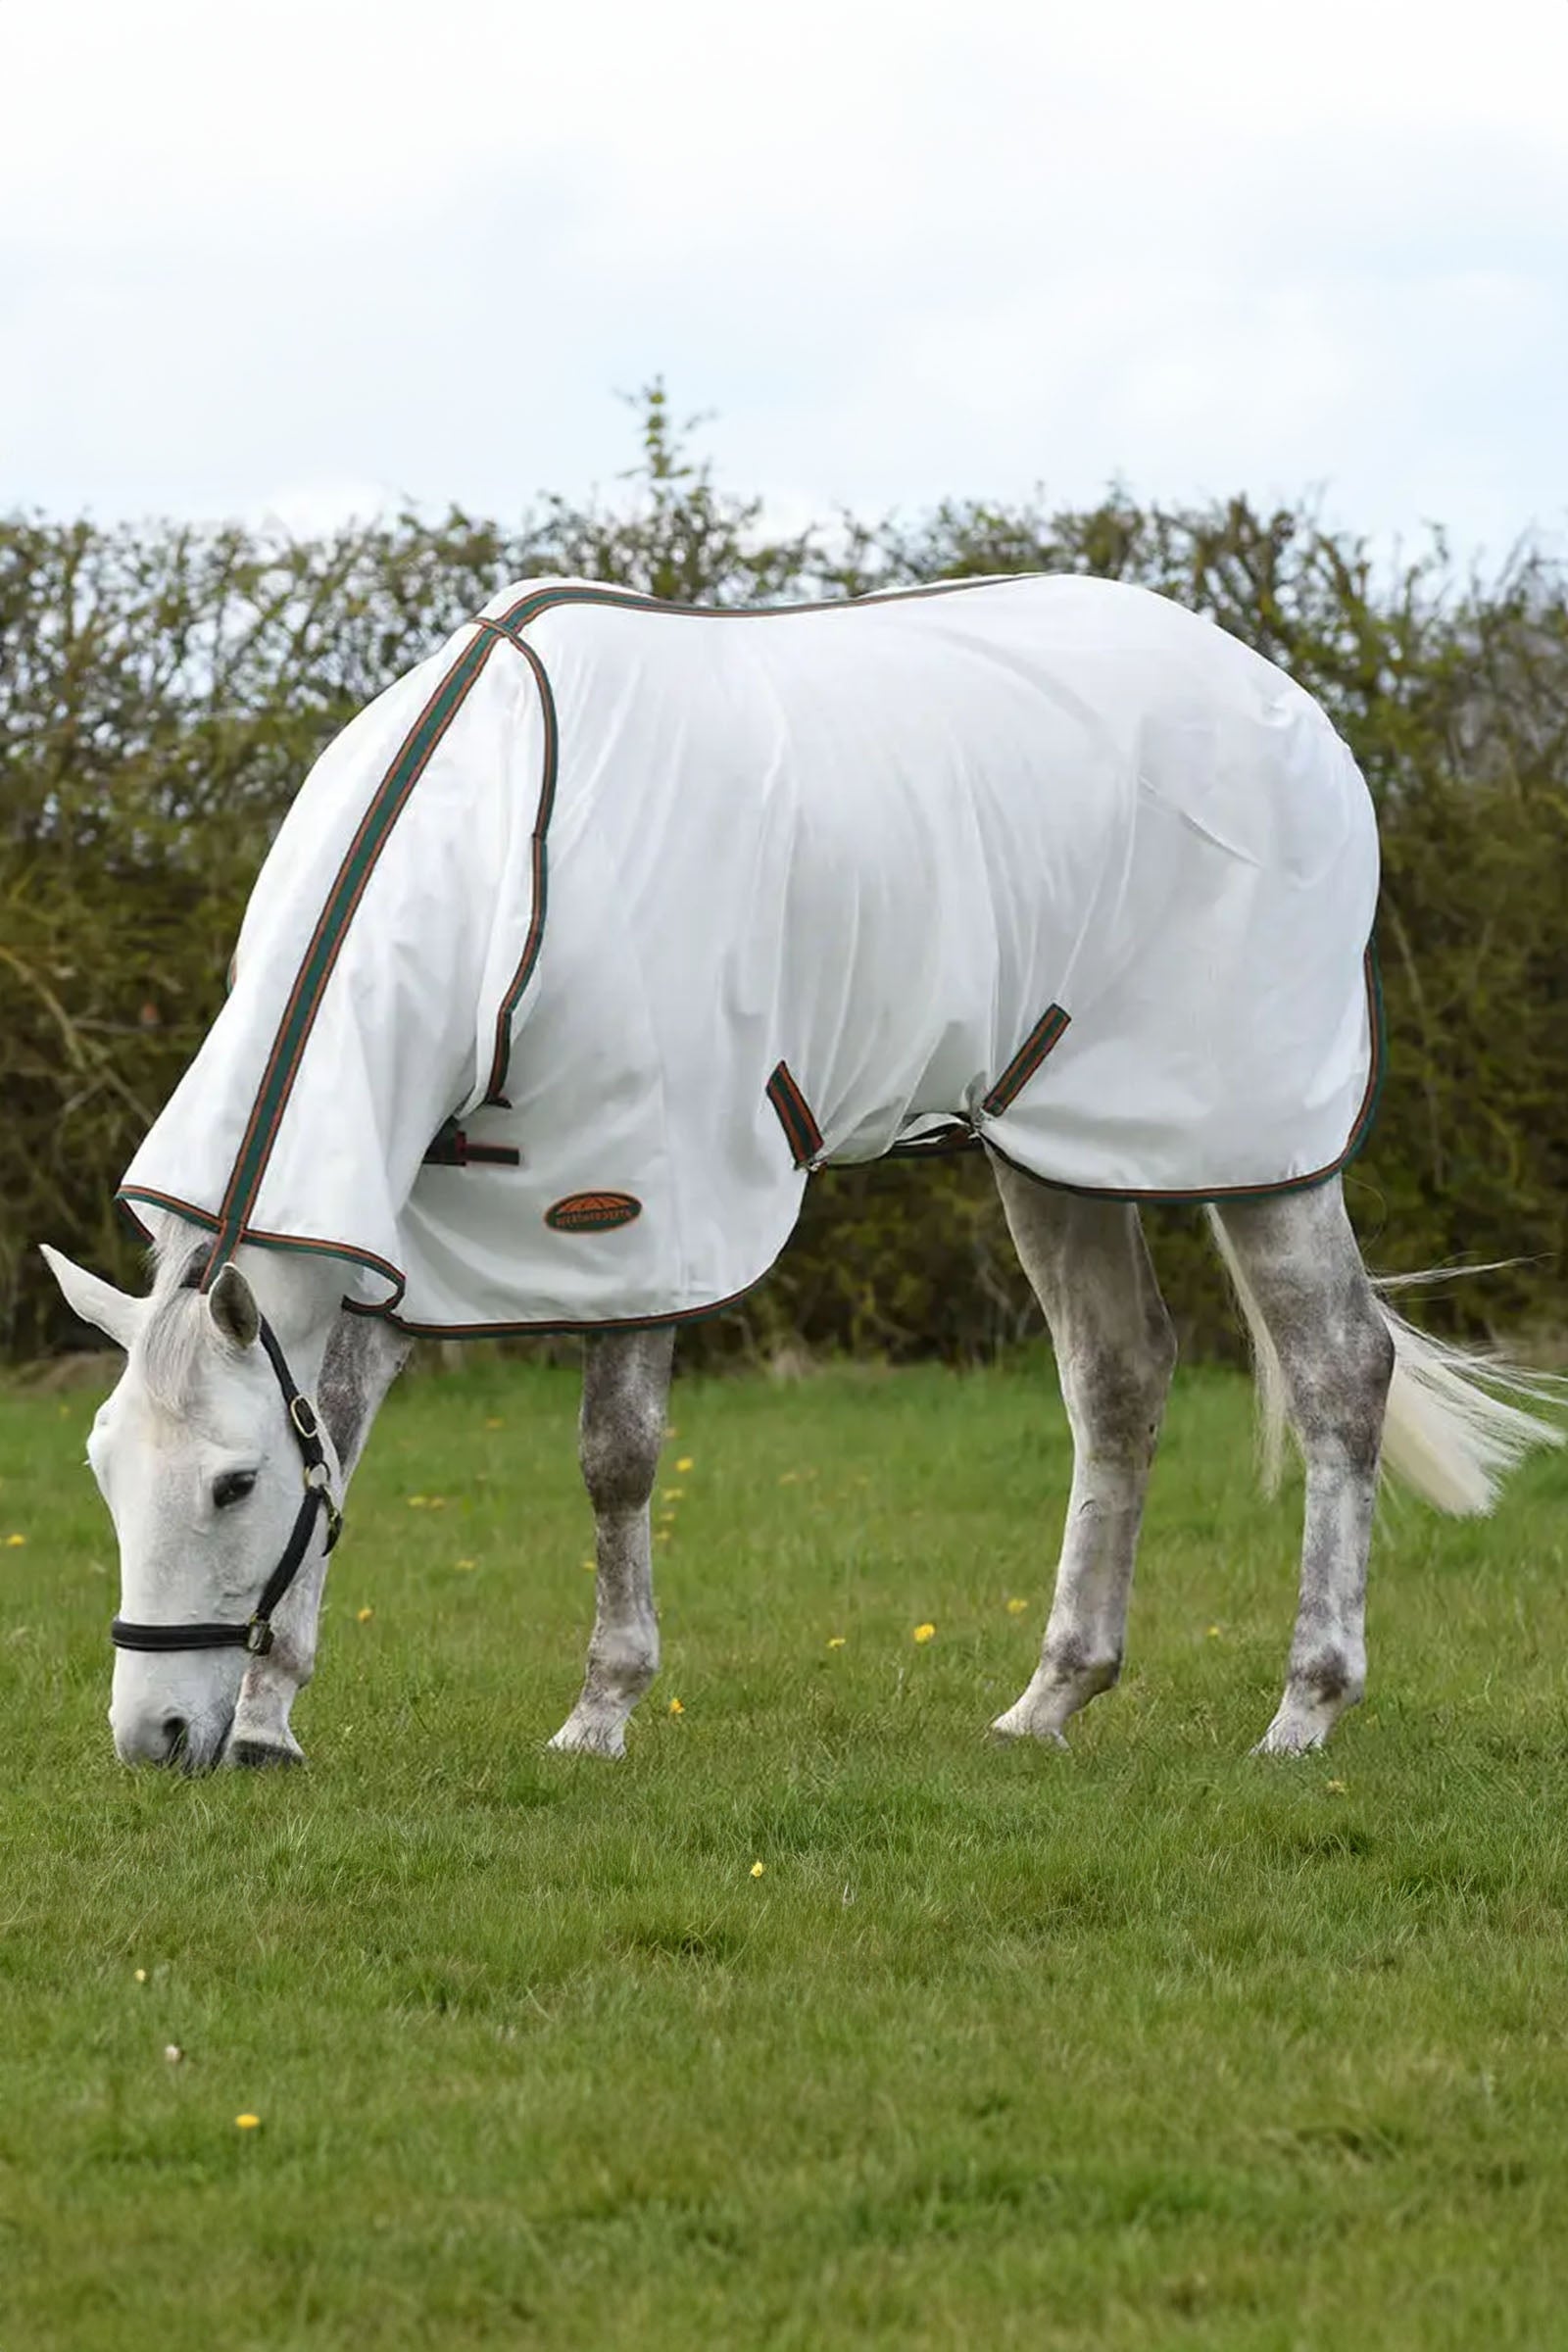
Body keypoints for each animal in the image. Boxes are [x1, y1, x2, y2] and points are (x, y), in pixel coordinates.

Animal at [41, 573, 1560, 1771]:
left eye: (230, 1485)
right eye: (104, 1468)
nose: (153, 1740)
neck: (502, 856)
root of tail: (1285, 706)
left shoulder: (639, 1205)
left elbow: (614, 1461)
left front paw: (600, 1713)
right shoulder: (401, 1223)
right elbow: (347, 1432)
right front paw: (271, 1720)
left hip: (1255, 1148)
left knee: (1336, 1373)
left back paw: (1304, 1710)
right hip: (1058, 1147)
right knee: (1119, 1380)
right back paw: (1050, 1700)